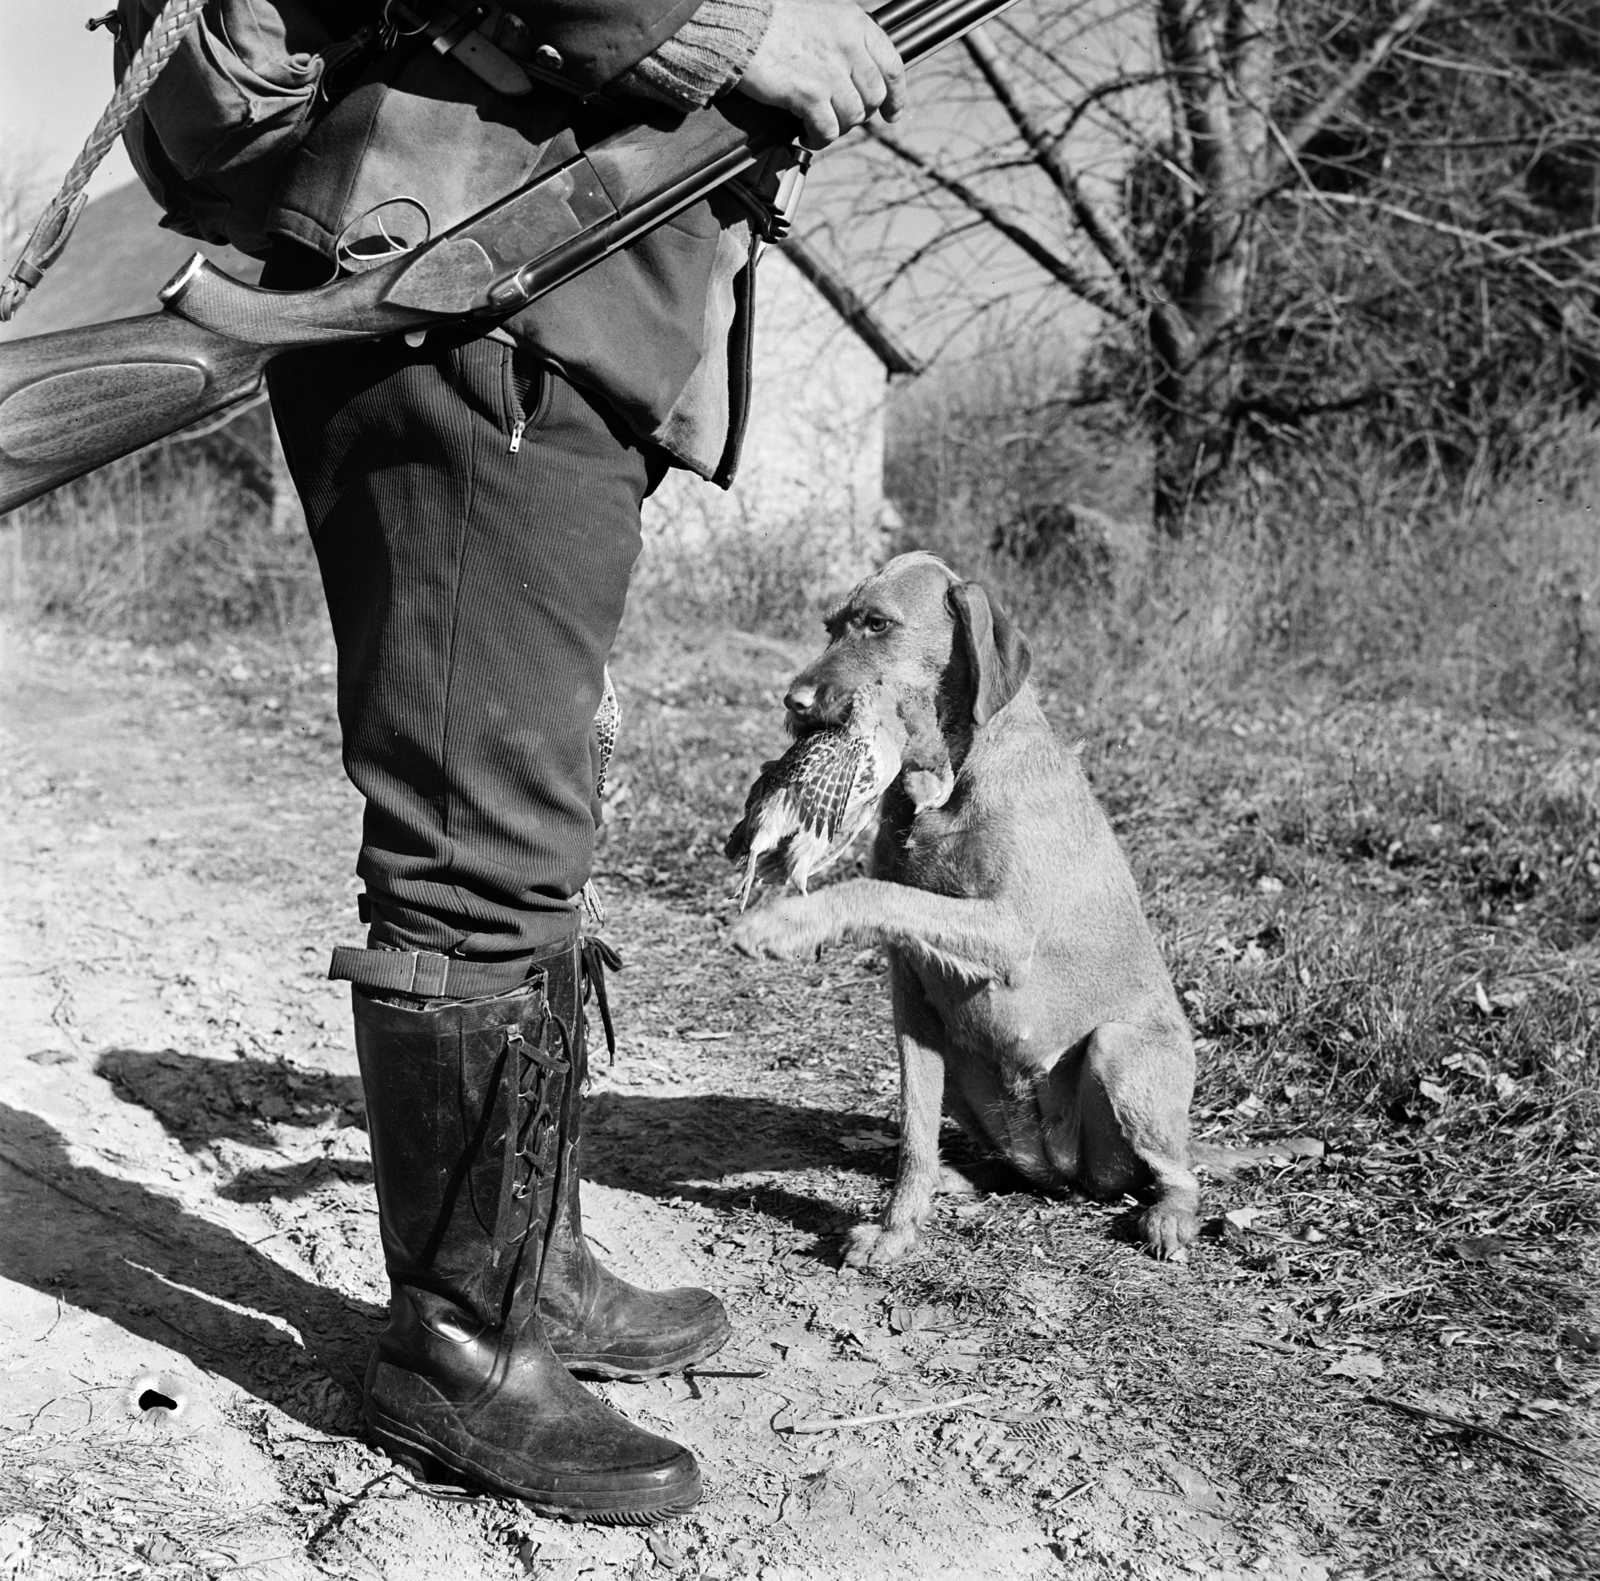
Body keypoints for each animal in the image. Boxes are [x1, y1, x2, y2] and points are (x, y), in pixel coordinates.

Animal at [732, 550, 1196, 1267]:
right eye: (831, 626)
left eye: (878, 623)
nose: (795, 703)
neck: (943, 778)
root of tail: (1069, 1173)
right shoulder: (914, 998)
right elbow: (915, 1130)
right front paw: (897, 1229)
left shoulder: (1008, 933)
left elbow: (880, 892)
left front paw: (783, 921)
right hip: (972, 1073)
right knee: (1014, 1167)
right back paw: (962, 1176)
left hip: (1117, 1050)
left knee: (1178, 1173)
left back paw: (1170, 1216)